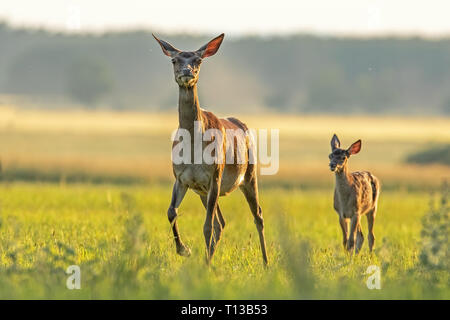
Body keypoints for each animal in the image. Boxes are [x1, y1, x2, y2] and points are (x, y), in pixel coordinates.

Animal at [153, 33, 268, 264]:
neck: (194, 149)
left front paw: (198, 259)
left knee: (257, 215)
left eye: (198, 60)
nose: (187, 72)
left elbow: (206, 226)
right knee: (221, 223)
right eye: (174, 60)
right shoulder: (181, 178)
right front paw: (184, 250)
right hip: (203, 192)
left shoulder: (215, 174)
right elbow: (171, 212)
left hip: (249, 175)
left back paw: (266, 262)